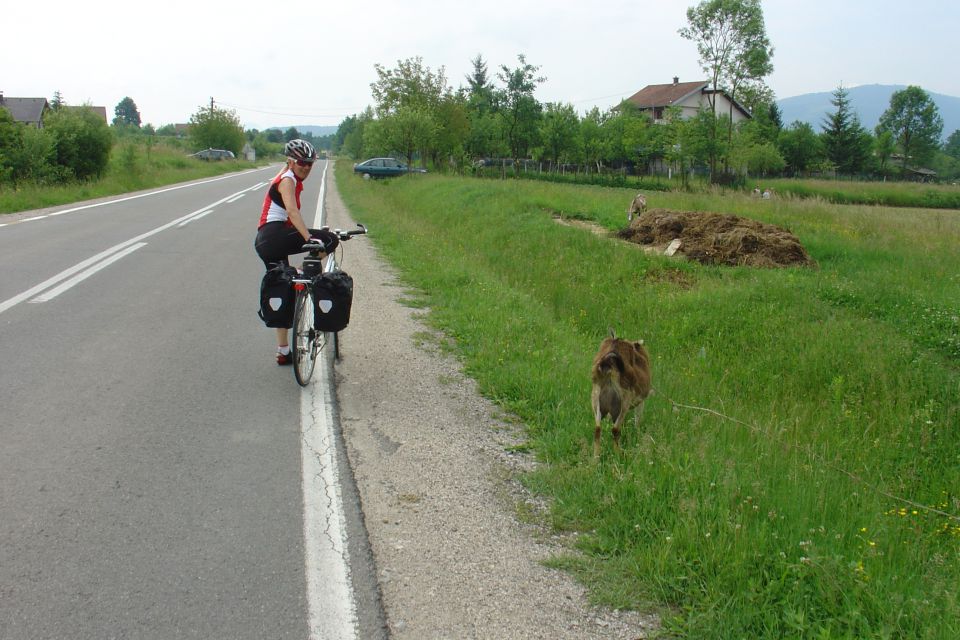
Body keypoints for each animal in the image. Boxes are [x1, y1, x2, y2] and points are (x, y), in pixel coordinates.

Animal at [592, 328, 652, 458]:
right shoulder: (640, 401)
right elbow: (638, 419)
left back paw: (596, 458)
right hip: (623, 401)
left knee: (597, 428)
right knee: (615, 430)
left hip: (596, 396)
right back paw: (618, 454)